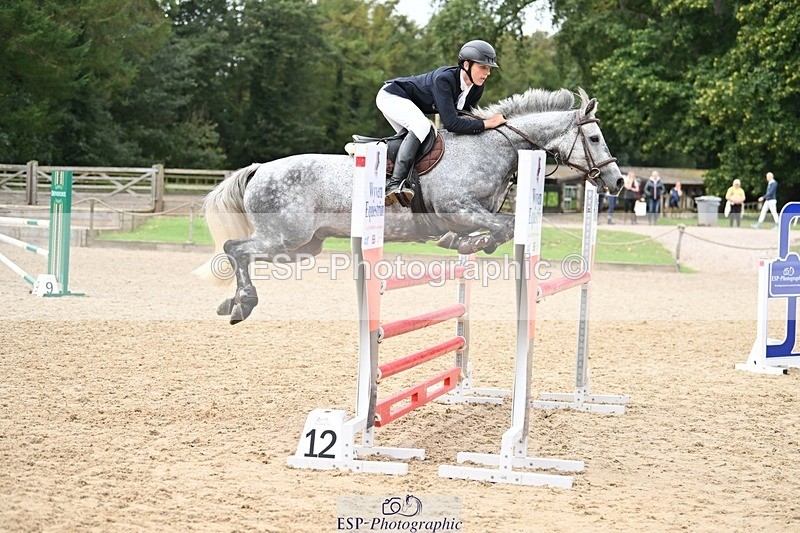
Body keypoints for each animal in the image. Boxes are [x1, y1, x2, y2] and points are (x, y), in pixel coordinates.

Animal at [196, 88, 624, 324]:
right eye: (595, 138)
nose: (618, 182)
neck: (492, 148)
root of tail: (259, 168)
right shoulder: (458, 207)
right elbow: (500, 227)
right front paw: (468, 244)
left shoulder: (471, 213)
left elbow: (498, 227)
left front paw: (462, 244)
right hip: (285, 237)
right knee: (235, 248)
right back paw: (242, 303)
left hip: (302, 247)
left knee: (244, 253)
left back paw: (231, 302)